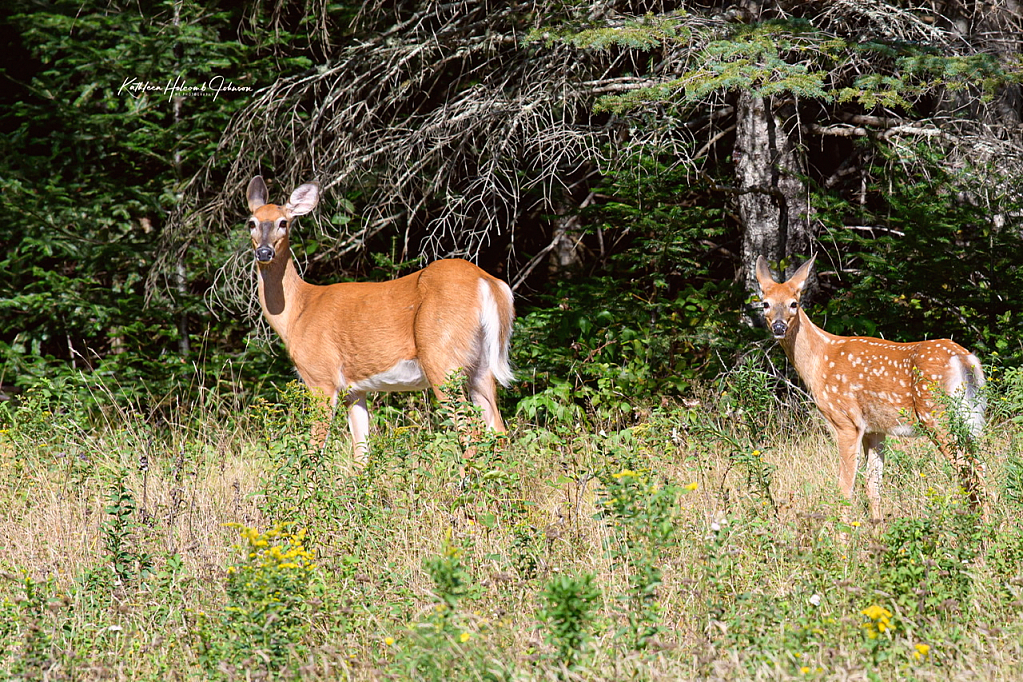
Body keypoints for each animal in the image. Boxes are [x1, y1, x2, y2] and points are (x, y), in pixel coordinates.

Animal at [244, 174, 515, 464]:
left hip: (442, 358)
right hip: (480, 366)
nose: (264, 252)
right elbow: (361, 453)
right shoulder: (354, 389)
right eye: (252, 222)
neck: (298, 312)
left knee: (470, 433)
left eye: (283, 222)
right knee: (498, 430)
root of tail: (487, 283)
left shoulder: (320, 376)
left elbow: (314, 450)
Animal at [757, 258, 986, 519]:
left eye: (793, 303)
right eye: (765, 303)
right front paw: (878, 526)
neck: (820, 361)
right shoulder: (875, 429)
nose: (778, 327)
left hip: (936, 415)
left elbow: (845, 486)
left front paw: (841, 530)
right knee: (978, 466)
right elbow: (873, 485)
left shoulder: (846, 421)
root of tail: (965, 358)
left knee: (972, 469)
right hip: (970, 417)